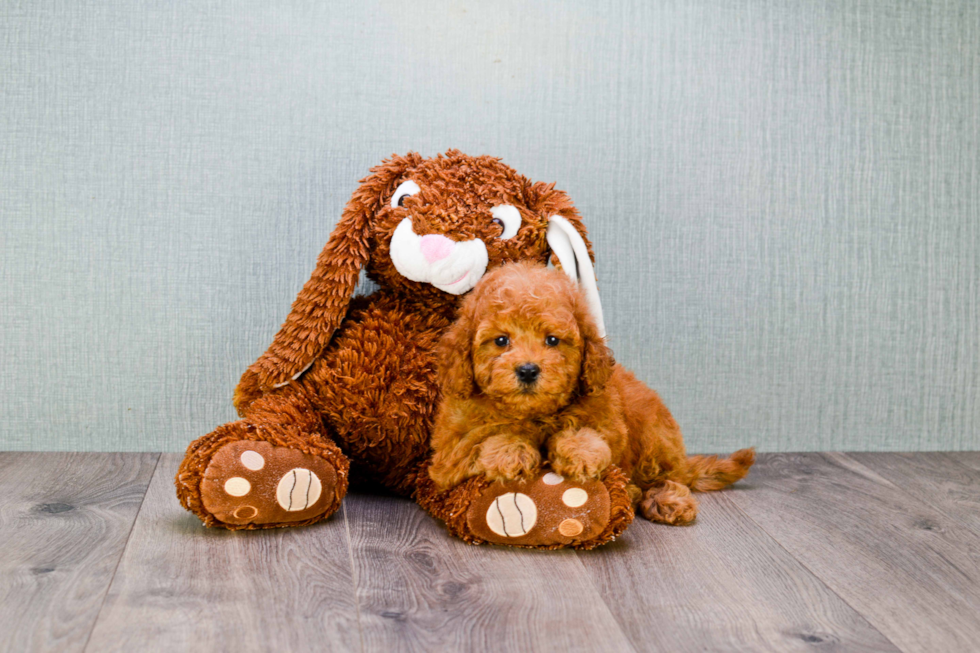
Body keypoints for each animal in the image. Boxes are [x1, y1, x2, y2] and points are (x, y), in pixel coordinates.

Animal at [424, 262, 756, 524]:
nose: (528, 370)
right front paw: (510, 451)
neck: (535, 414)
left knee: (669, 476)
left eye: (552, 340)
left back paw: (666, 499)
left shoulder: (610, 423)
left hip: (653, 432)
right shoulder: (449, 456)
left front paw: (580, 451)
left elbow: (590, 435)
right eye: (501, 340)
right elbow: (484, 438)